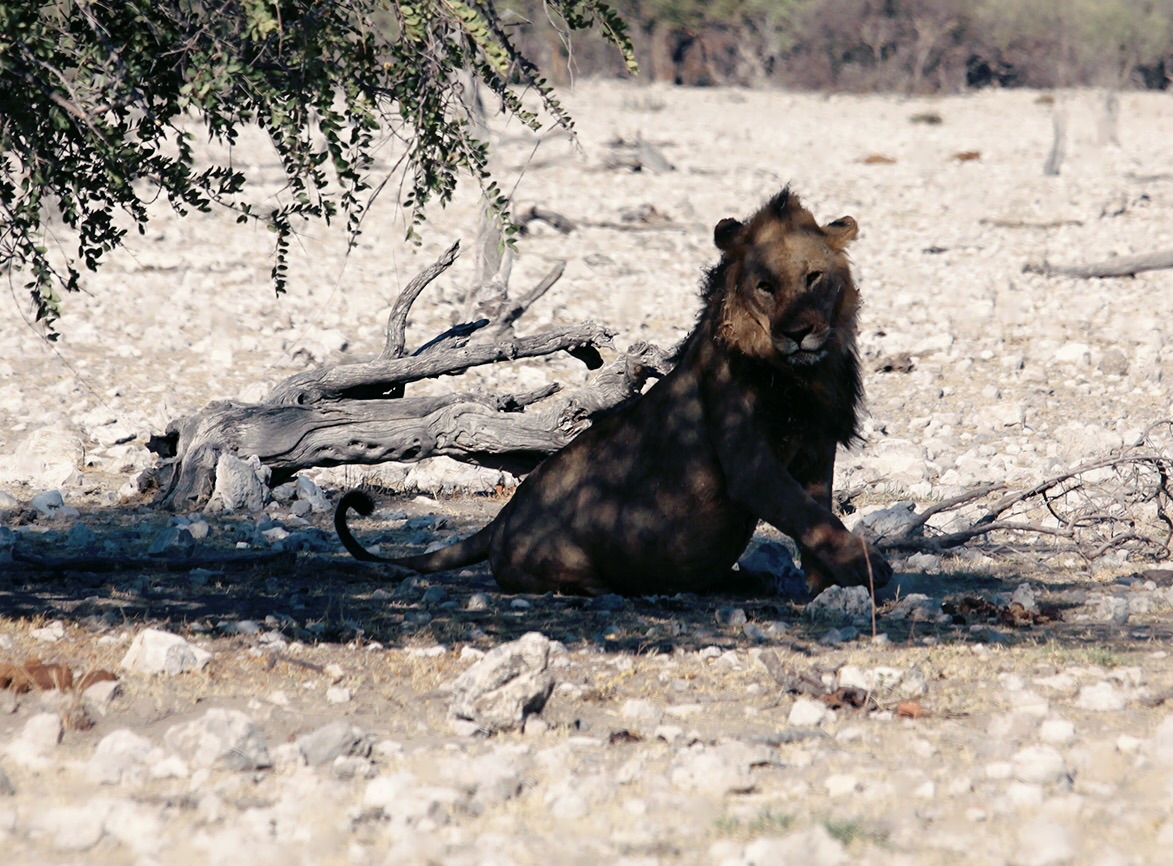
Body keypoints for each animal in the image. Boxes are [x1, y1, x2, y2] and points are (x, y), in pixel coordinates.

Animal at [335, 187, 891, 593]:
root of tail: (502, 518)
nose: (799, 332)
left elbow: (817, 516)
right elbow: (807, 516)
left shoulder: (817, 447)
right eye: (766, 287)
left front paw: (824, 588)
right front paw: (870, 569)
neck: (801, 374)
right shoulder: (751, 465)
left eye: (814, 278)